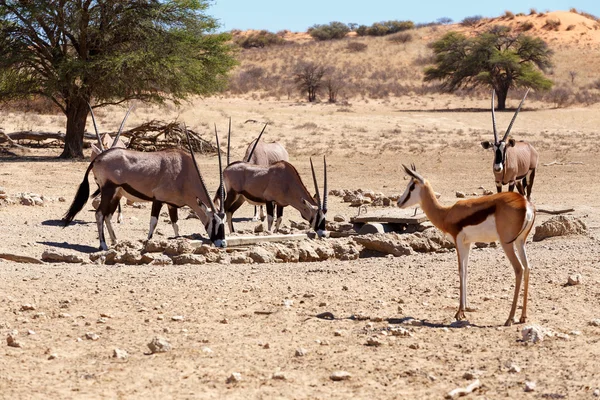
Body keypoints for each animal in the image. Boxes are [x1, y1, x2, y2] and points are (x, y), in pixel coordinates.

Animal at [62, 126, 227, 250]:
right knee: (99, 214)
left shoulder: (172, 204)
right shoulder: (158, 199)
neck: (183, 170)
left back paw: (115, 241)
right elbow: (153, 222)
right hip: (108, 190)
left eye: (224, 222)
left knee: (107, 216)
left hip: (117, 194)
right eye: (214, 221)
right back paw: (103, 245)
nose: (223, 244)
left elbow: (176, 224)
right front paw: (148, 243)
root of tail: (99, 158)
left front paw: (178, 242)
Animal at [398, 164, 536, 326]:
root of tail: (525, 204)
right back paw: (523, 316)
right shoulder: (468, 243)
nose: (399, 202)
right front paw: (466, 308)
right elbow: (466, 271)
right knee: (527, 267)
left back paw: (510, 318)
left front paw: (459, 312)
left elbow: (460, 271)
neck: (446, 214)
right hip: (520, 242)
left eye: (412, 186)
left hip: (506, 243)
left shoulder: (458, 241)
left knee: (519, 269)